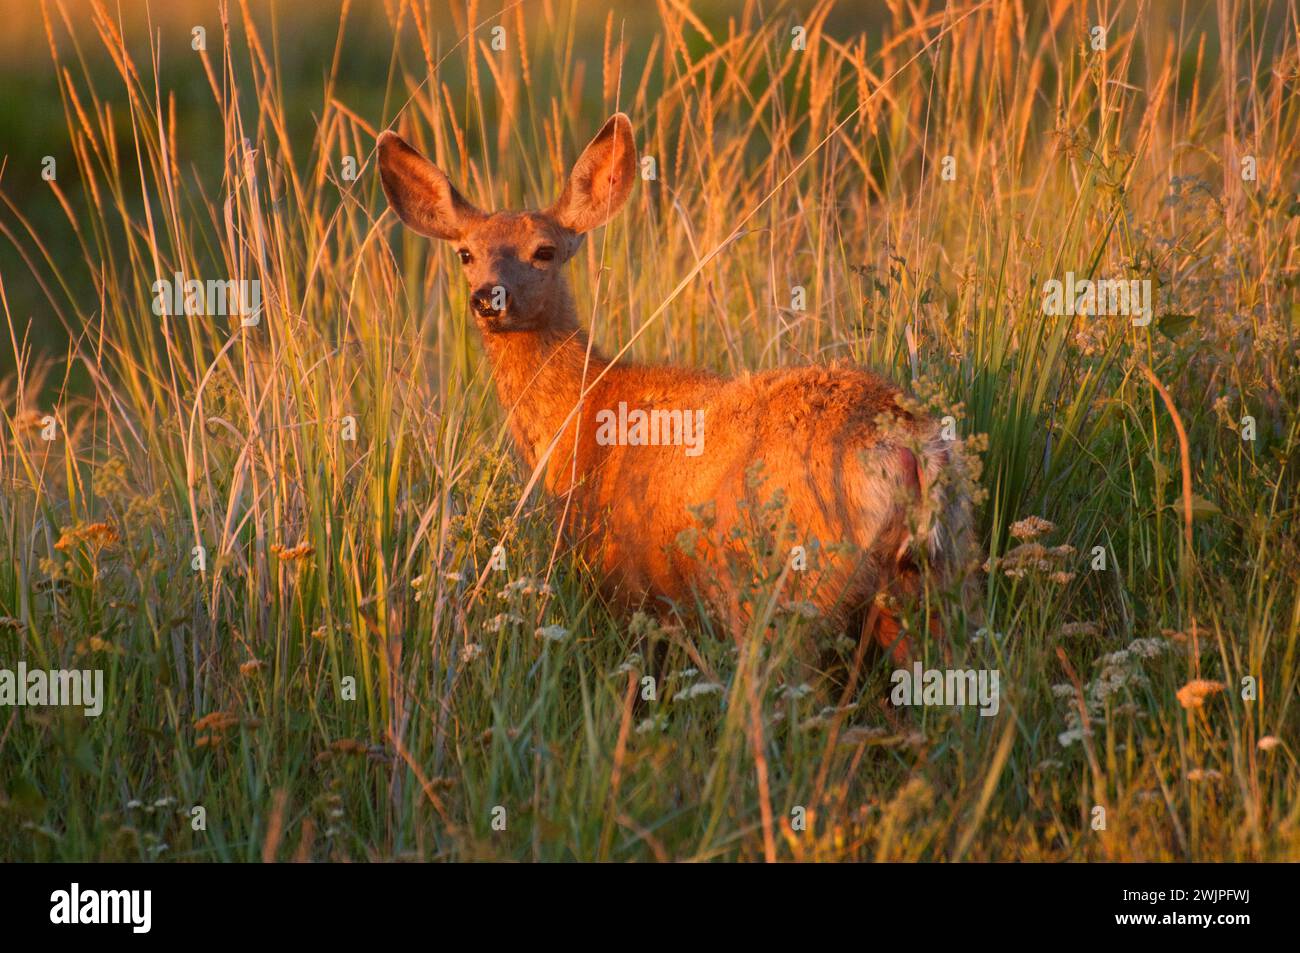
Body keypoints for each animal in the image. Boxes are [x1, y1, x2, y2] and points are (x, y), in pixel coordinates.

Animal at [377, 113, 977, 670]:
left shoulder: (618, 573)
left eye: (544, 251)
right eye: (465, 254)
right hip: (938, 573)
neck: (581, 407)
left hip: (782, 579)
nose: (487, 298)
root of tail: (909, 447)